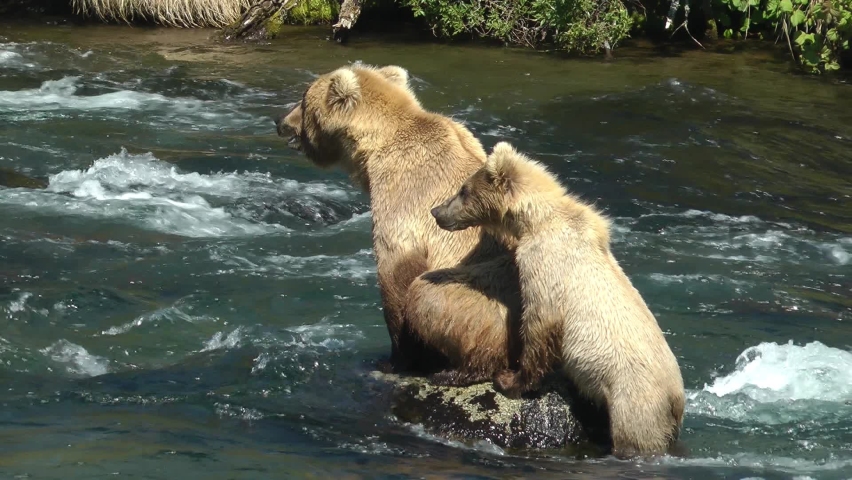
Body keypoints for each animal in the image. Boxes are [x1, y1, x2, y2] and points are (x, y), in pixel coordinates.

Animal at [274, 63, 522, 384]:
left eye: (303, 100)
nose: (279, 120)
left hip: (494, 293)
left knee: (434, 295)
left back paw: (459, 370)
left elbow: (397, 277)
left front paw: (394, 361)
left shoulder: (404, 195)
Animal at [430, 141, 686, 458]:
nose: (436, 211)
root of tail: (677, 402)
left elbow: (540, 321)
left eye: (463, 189)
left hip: (635, 404)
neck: (534, 221)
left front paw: (509, 379)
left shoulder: (544, 262)